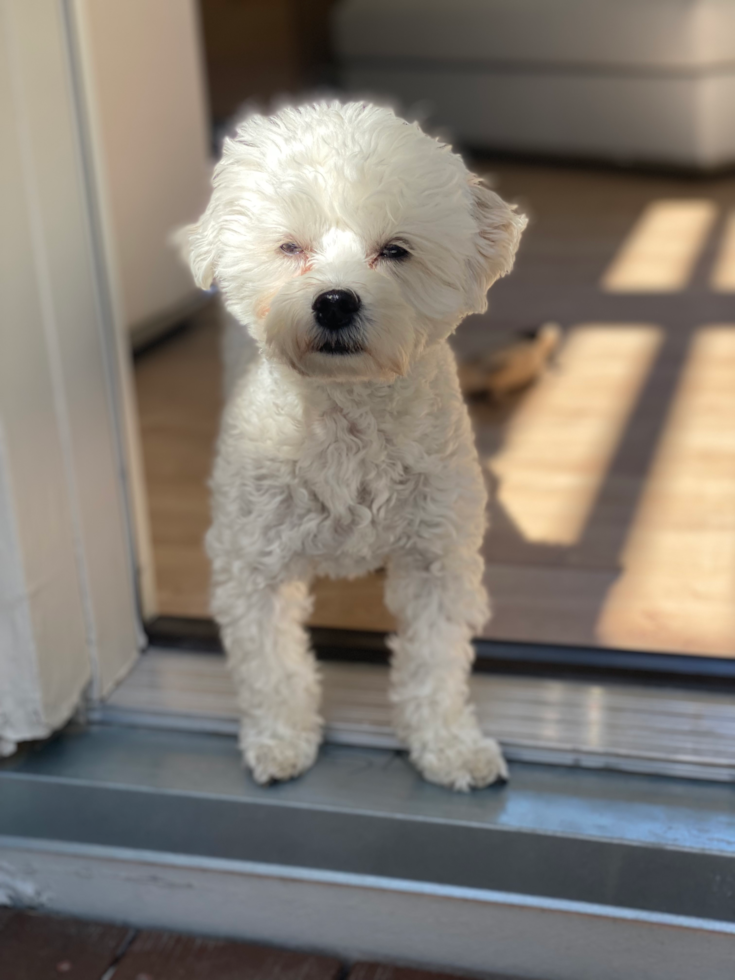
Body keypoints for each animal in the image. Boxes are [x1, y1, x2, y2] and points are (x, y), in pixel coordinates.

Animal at [184, 101, 528, 788]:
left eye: (395, 250)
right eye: (290, 246)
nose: (336, 302)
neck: (347, 419)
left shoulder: (435, 559)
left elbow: (435, 663)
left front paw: (449, 745)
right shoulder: (252, 563)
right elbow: (271, 666)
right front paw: (282, 739)